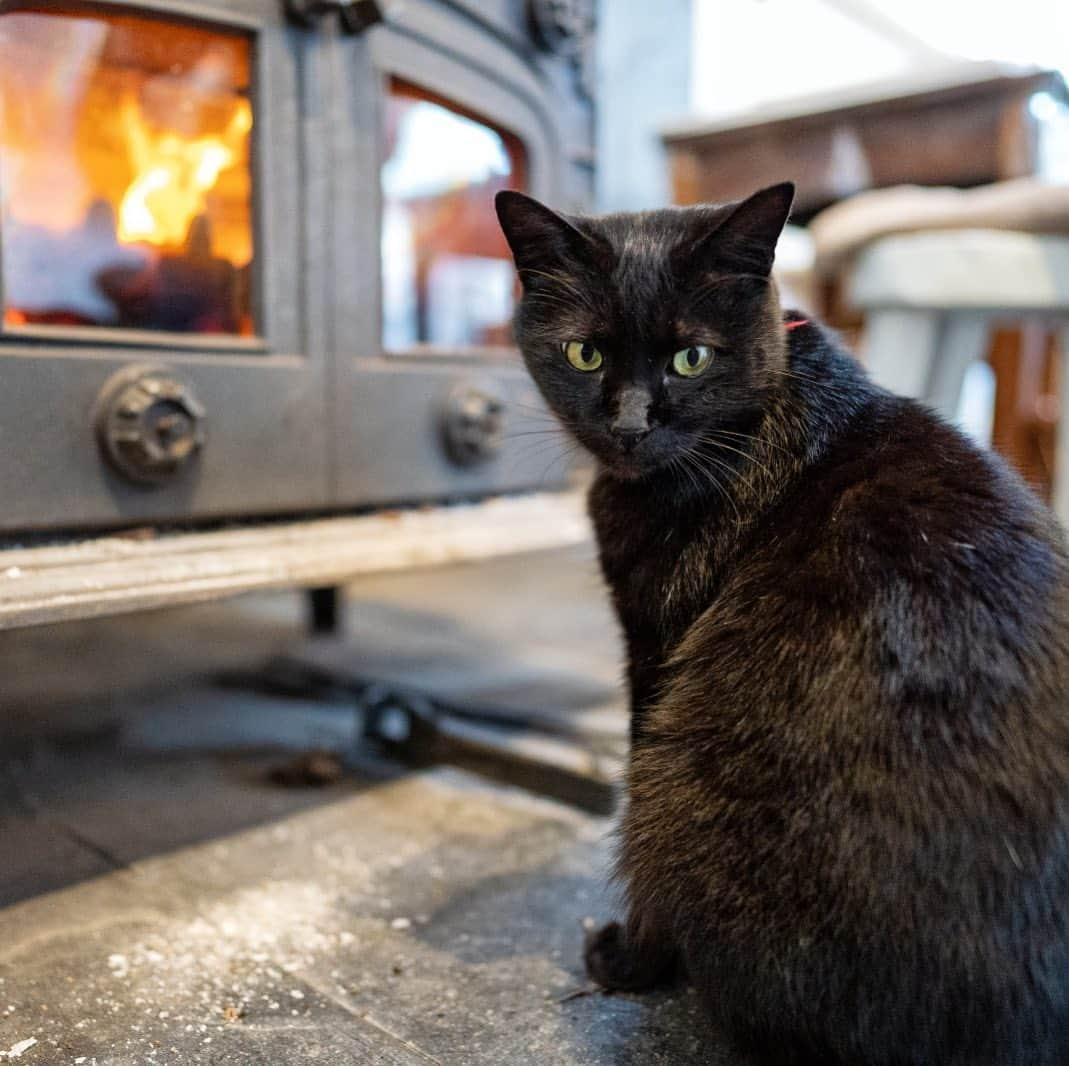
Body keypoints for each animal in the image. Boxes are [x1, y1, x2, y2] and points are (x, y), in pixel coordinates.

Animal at [498, 184, 1069, 1064]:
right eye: (584, 354)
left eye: (691, 357)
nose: (629, 424)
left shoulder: (655, 659)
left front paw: (631, 960)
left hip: (679, 770)